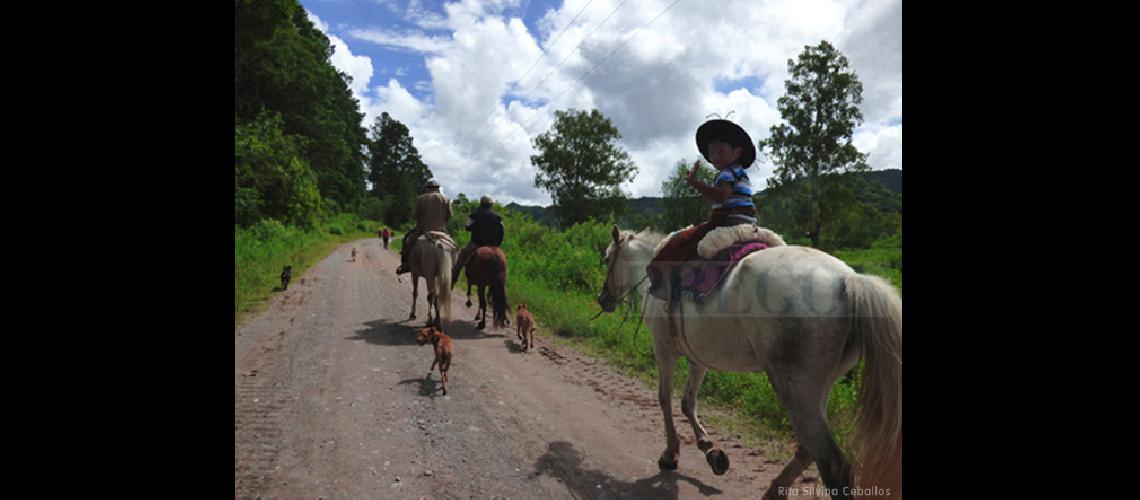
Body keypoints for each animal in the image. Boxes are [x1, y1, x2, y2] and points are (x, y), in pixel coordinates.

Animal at [597, 226, 898, 500]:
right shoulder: (698, 357)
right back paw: (775, 490)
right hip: (817, 388)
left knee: (831, 463)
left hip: (795, 388)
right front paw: (710, 450)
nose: (603, 299)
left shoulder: (663, 348)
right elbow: (687, 402)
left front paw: (671, 453)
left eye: (607, 258)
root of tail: (848, 280)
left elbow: (664, 398)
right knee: (809, 448)